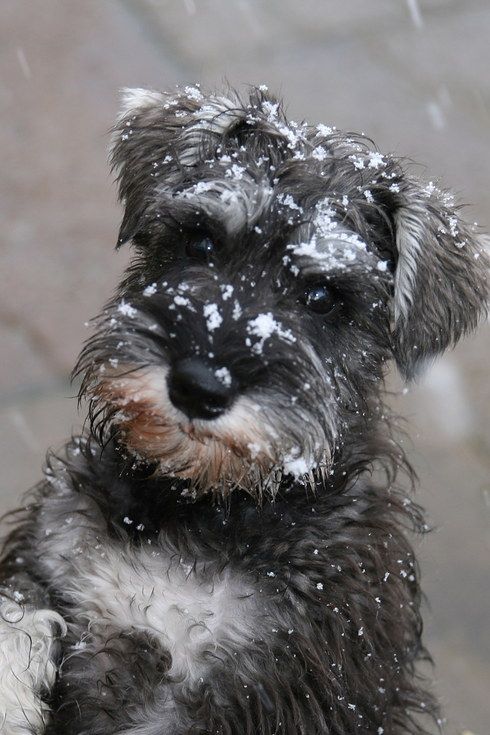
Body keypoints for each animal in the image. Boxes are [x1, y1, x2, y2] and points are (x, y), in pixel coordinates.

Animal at [0, 87, 488, 735]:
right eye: (200, 240)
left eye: (323, 297)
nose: (199, 386)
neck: (195, 508)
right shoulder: (52, 558)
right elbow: (21, 609)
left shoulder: (262, 688)